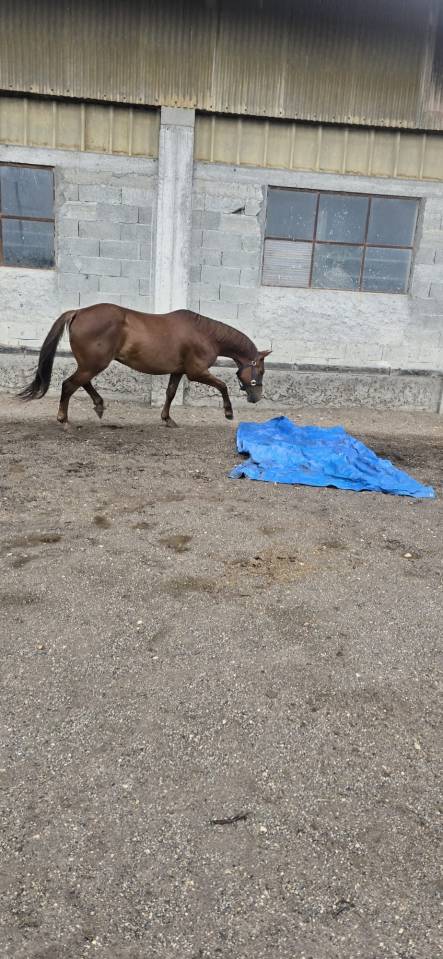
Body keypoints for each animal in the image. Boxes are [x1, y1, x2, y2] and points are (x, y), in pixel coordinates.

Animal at [19, 303, 272, 427]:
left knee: (81, 383)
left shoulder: (178, 371)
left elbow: (170, 393)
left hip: (91, 364)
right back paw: (63, 420)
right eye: (260, 370)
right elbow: (222, 386)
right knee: (69, 385)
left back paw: (99, 406)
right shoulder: (196, 372)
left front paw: (167, 419)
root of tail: (78, 312)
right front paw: (228, 413)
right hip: (94, 364)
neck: (205, 334)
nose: (256, 397)